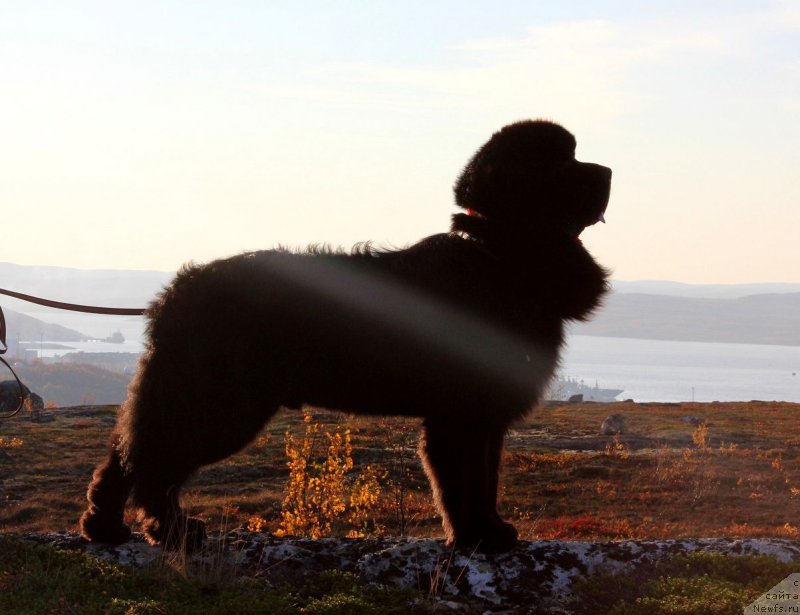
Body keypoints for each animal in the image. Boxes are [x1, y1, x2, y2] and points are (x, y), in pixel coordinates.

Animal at [81, 120, 608, 552]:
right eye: (562, 163)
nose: (607, 170)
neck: (498, 255)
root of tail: (175, 293)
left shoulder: (486, 416)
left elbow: (485, 479)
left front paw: (490, 531)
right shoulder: (461, 414)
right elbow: (464, 480)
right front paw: (477, 539)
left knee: (125, 454)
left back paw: (104, 527)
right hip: (220, 405)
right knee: (153, 463)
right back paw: (173, 531)